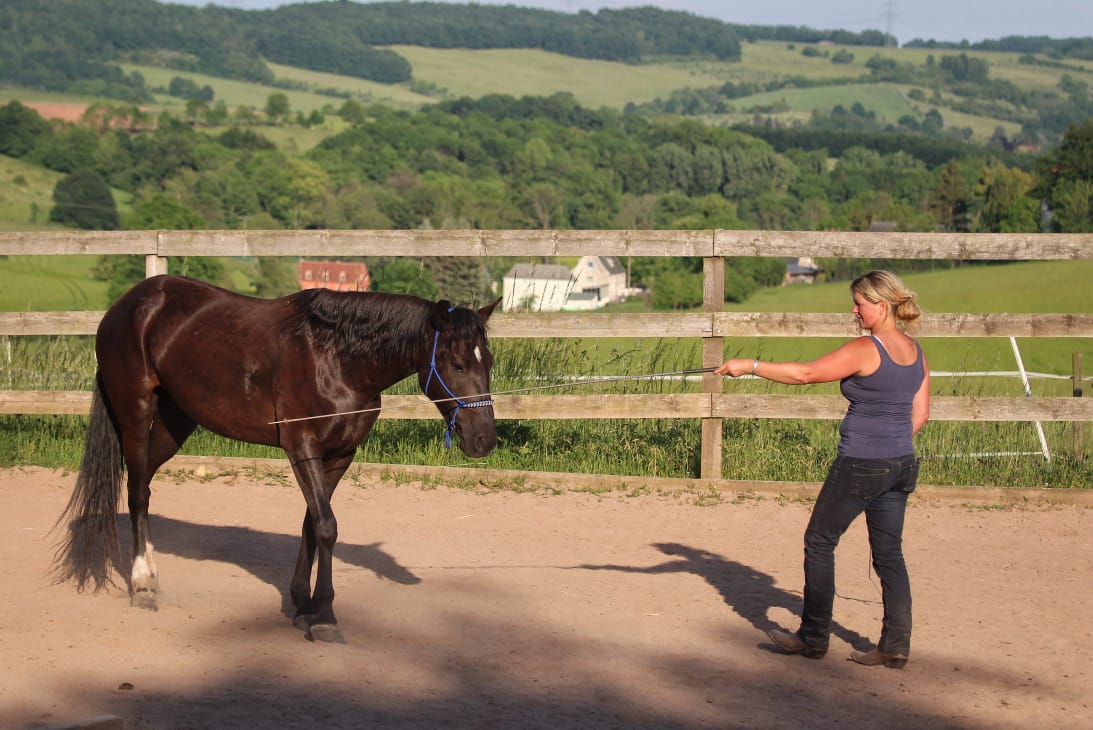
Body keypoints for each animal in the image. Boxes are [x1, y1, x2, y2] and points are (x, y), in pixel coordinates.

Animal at [51, 272, 496, 638]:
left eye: (487, 362)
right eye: (457, 364)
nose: (484, 440)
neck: (338, 359)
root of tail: (126, 304)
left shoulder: (340, 455)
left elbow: (312, 524)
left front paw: (302, 606)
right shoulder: (302, 448)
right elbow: (327, 526)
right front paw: (326, 617)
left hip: (175, 422)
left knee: (143, 484)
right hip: (136, 413)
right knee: (136, 491)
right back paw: (143, 583)